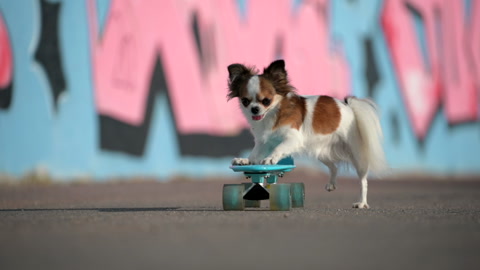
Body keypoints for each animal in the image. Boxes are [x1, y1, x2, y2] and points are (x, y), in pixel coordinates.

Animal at [227, 59, 388, 209]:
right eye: (245, 101)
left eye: (266, 101)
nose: (254, 109)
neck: (272, 114)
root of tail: (349, 107)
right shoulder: (264, 142)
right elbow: (254, 154)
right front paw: (245, 161)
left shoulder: (293, 139)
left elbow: (278, 148)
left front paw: (271, 158)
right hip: (321, 153)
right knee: (334, 167)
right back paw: (331, 184)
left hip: (356, 154)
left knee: (363, 180)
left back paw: (362, 202)